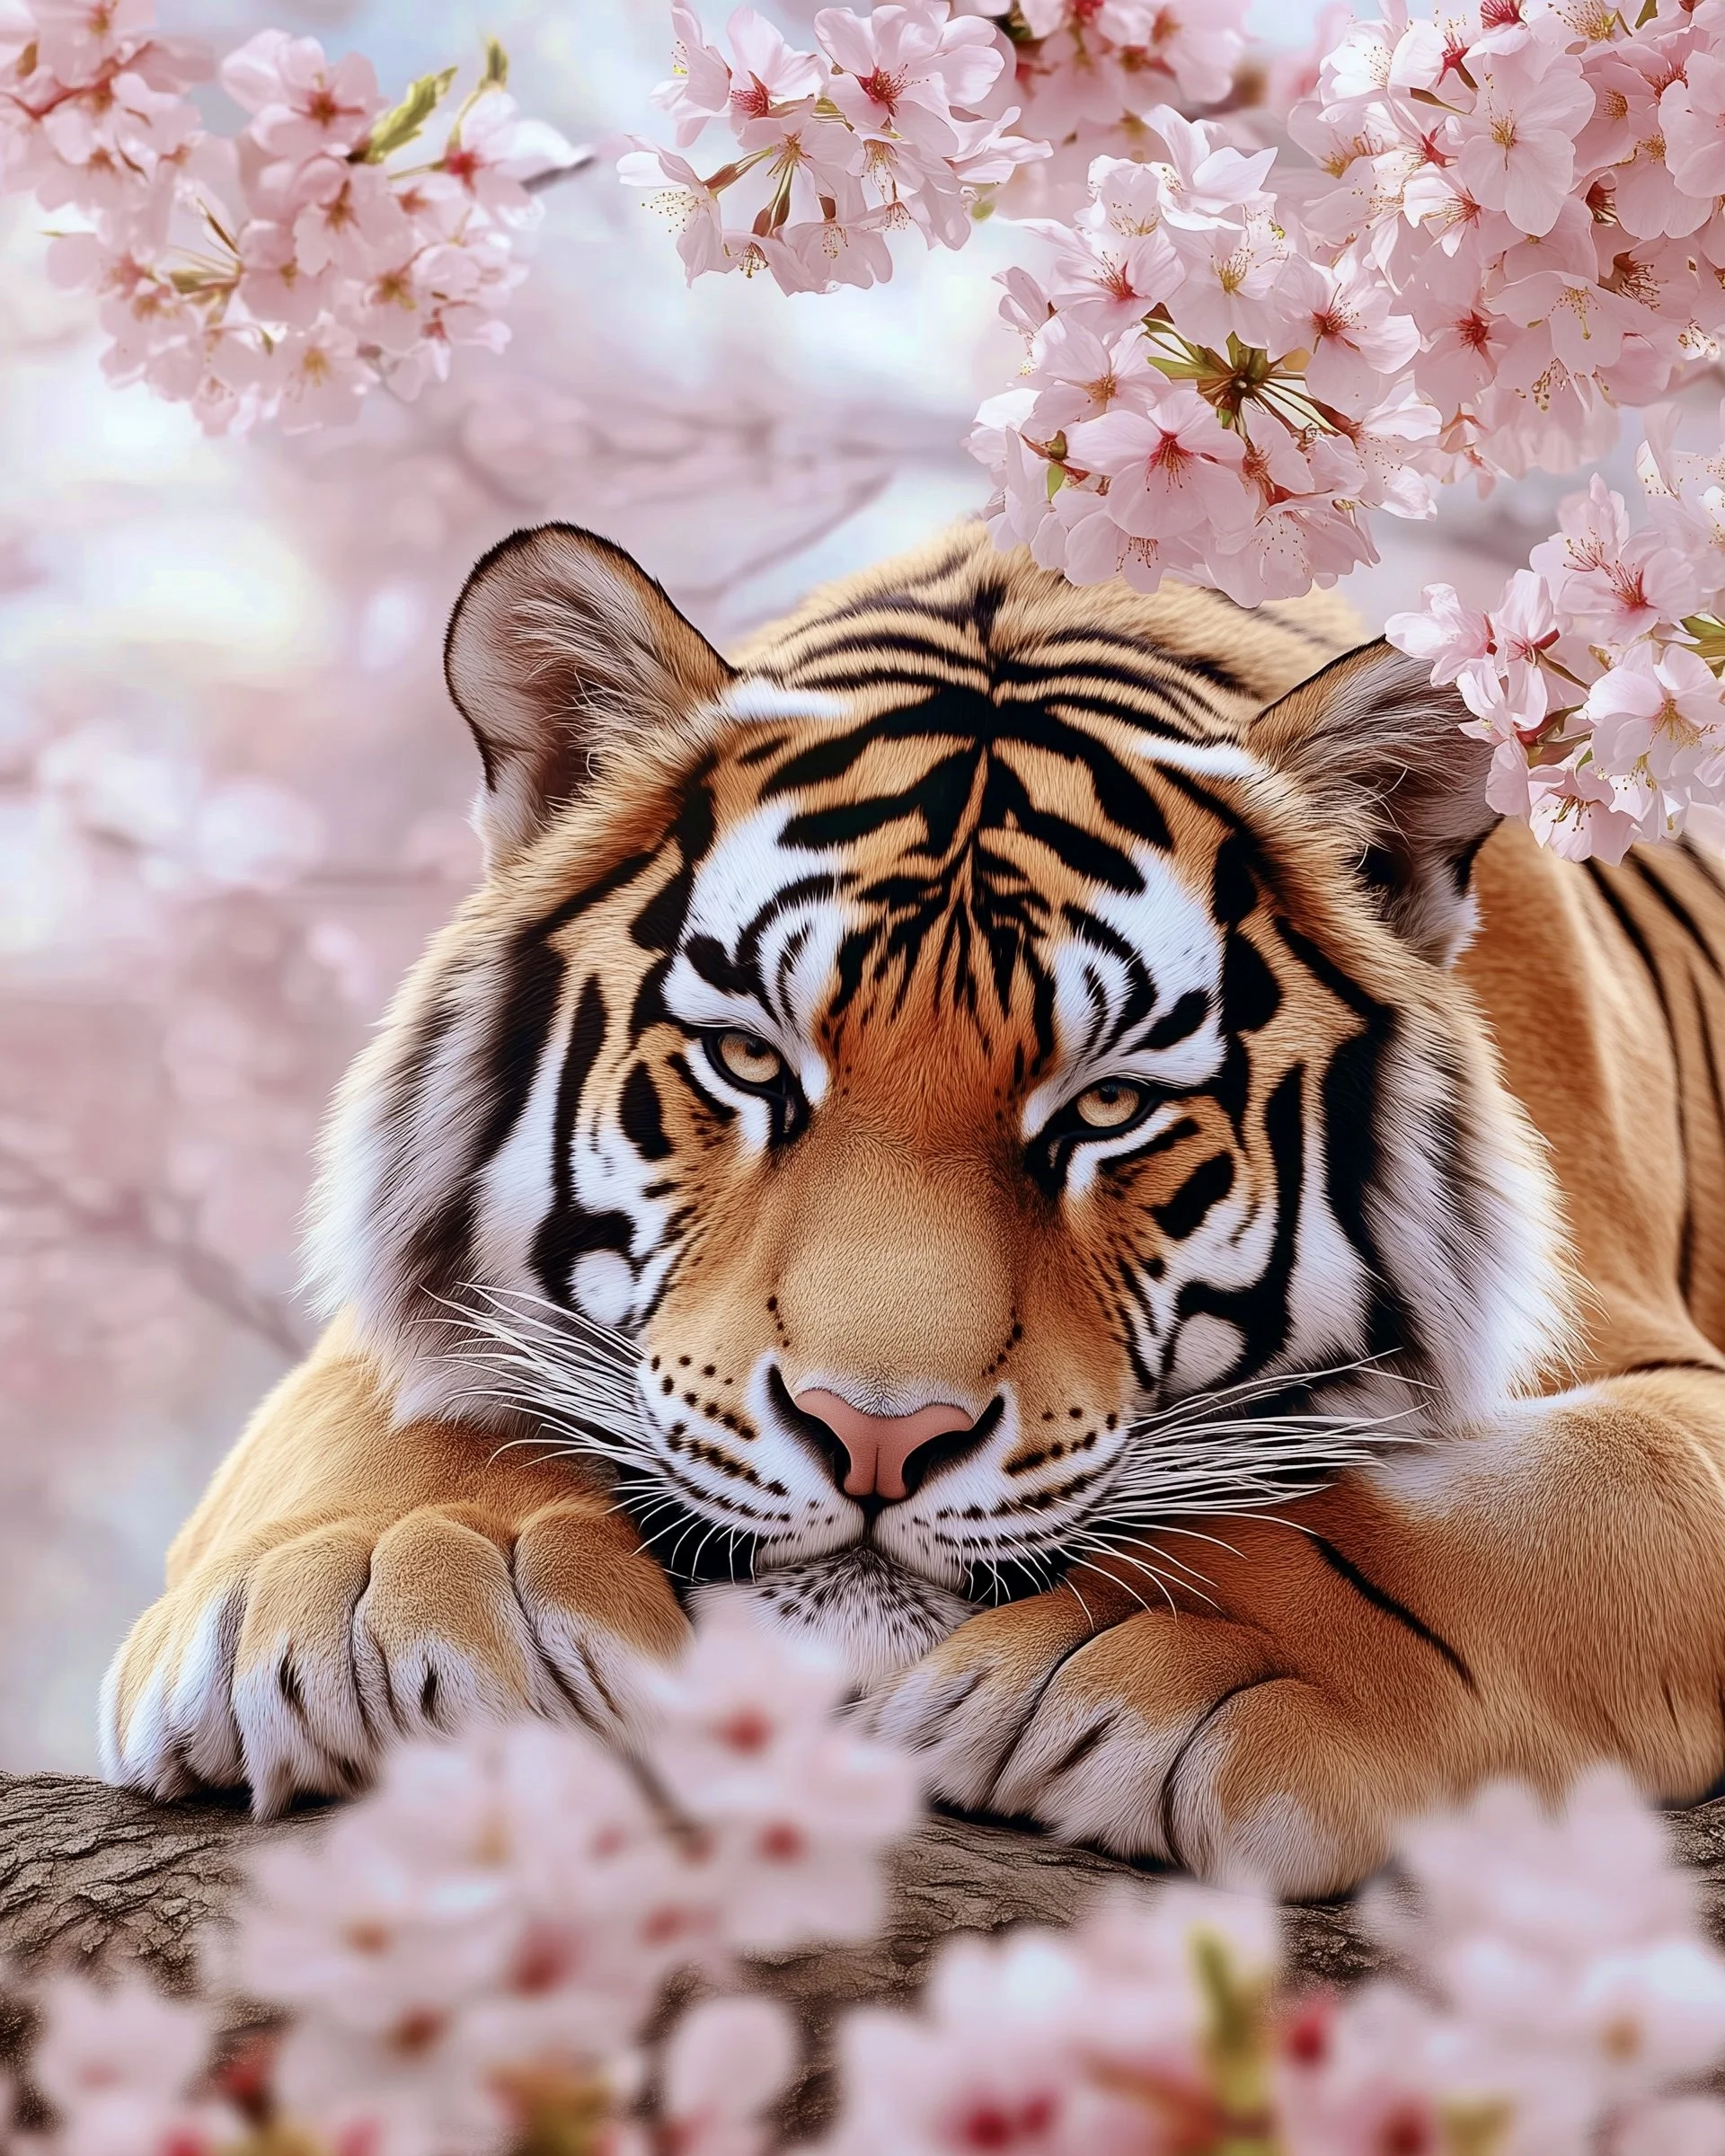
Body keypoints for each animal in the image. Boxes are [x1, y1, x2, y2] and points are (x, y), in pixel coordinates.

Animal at [99, 517, 1725, 1898]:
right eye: (752, 1060)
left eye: (1107, 1108)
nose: (878, 1436)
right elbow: (383, 1392)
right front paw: (394, 1590)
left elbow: (1498, 1503)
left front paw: (1154, 1661)